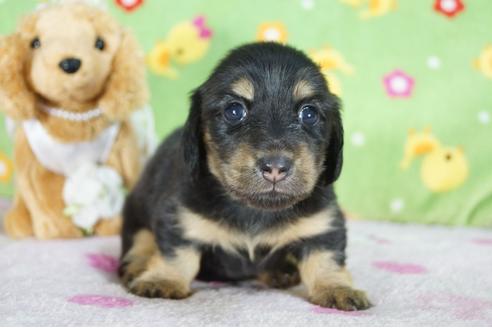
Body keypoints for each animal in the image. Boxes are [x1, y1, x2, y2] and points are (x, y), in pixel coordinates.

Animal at [121, 43, 370, 310]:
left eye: (309, 113)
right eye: (234, 110)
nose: (275, 166)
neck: (255, 210)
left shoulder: (323, 226)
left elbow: (327, 259)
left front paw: (337, 288)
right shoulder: (180, 218)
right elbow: (176, 254)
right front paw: (163, 279)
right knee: (140, 241)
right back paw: (137, 266)